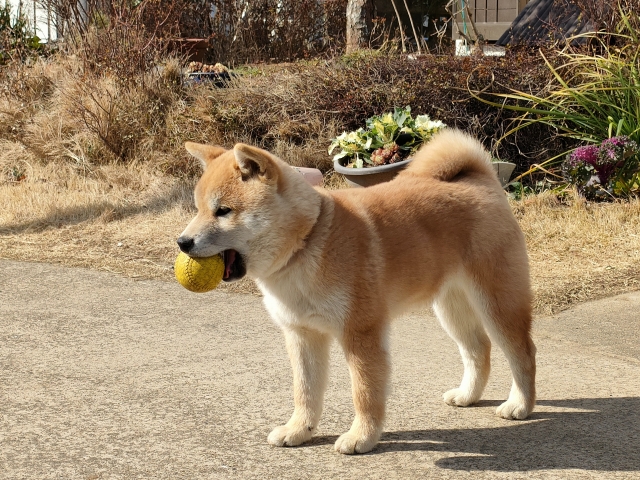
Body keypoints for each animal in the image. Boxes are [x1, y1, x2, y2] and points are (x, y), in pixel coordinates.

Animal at [176, 127, 536, 454]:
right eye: (199, 209)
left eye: (223, 211)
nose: (182, 242)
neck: (308, 242)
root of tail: (481, 179)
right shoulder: (302, 334)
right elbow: (304, 392)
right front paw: (299, 430)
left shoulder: (361, 333)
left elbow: (364, 392)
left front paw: (361, 437)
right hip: (451, 307)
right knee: (478, 349)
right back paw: (467, 395)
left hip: (497, 303)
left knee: (523, 353)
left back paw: (520, 405)